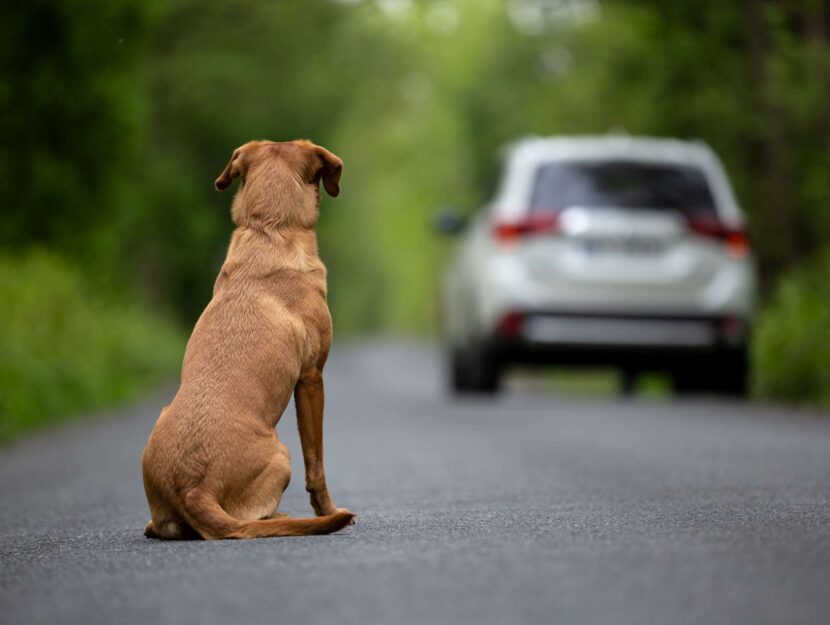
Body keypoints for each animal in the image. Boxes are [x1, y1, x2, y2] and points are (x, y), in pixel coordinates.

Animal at [141, 139, 354, 540]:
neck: (270, 228)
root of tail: (193, 489)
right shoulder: (312, 378)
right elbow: (316, 463)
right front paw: (329, 510)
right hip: (282, 455)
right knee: (257, 518)